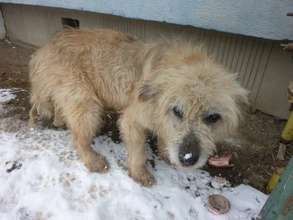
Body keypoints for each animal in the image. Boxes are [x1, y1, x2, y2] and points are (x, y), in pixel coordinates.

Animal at [28, 27, 248, 186]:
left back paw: (60, 120)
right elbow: (139, 151)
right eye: (177, 111)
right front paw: (140, 173)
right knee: (78, 138)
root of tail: (43, 49)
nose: (187, 159)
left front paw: (166, 153)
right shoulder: (132, 120)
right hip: (85, 102)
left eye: (213, 117)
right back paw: (93, 160)